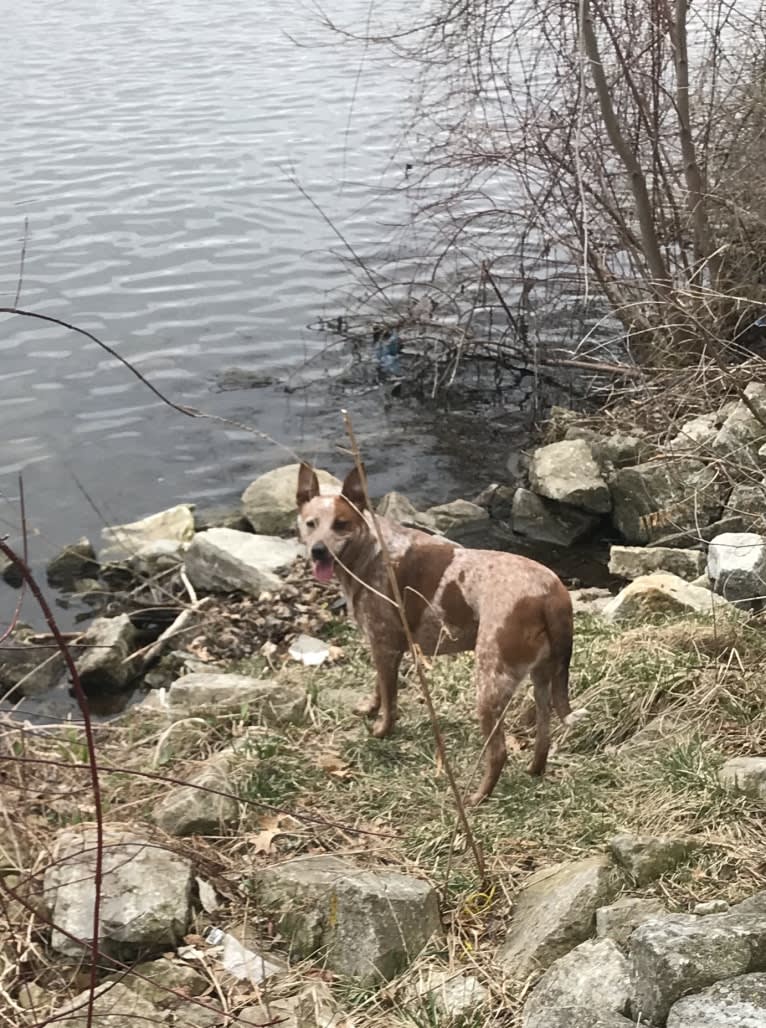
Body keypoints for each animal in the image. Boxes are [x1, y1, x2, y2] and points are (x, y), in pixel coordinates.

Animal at [296, 462, 584, 805]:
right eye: (311, 523)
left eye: (341, 524)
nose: (318, 551)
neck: (371, 551)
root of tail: (551, 593)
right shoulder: (383, 647)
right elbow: (380, 687)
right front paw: (370, 709)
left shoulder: (385, 646)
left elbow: (390, 700)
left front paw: (381, 731)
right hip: (542, 677)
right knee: (545, 732)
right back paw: (534, 771)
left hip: (489, 682)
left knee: (498, 752)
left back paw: (477, 798)